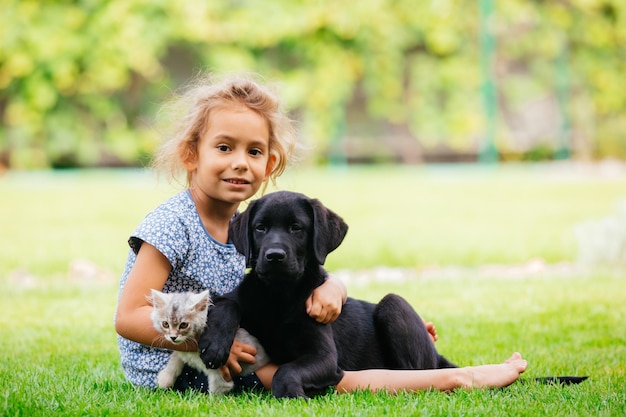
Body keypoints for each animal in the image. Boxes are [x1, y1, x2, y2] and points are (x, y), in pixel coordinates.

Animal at [200, 190, 454, 398]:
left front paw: (292, 395)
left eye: (296, 228)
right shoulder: (239, 297)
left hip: (394, 304)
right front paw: (214, 345)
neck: (280, 295)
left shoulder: (325, 358)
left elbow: (286, 370)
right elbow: (226, 303)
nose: (274, 256)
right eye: (260, 228)